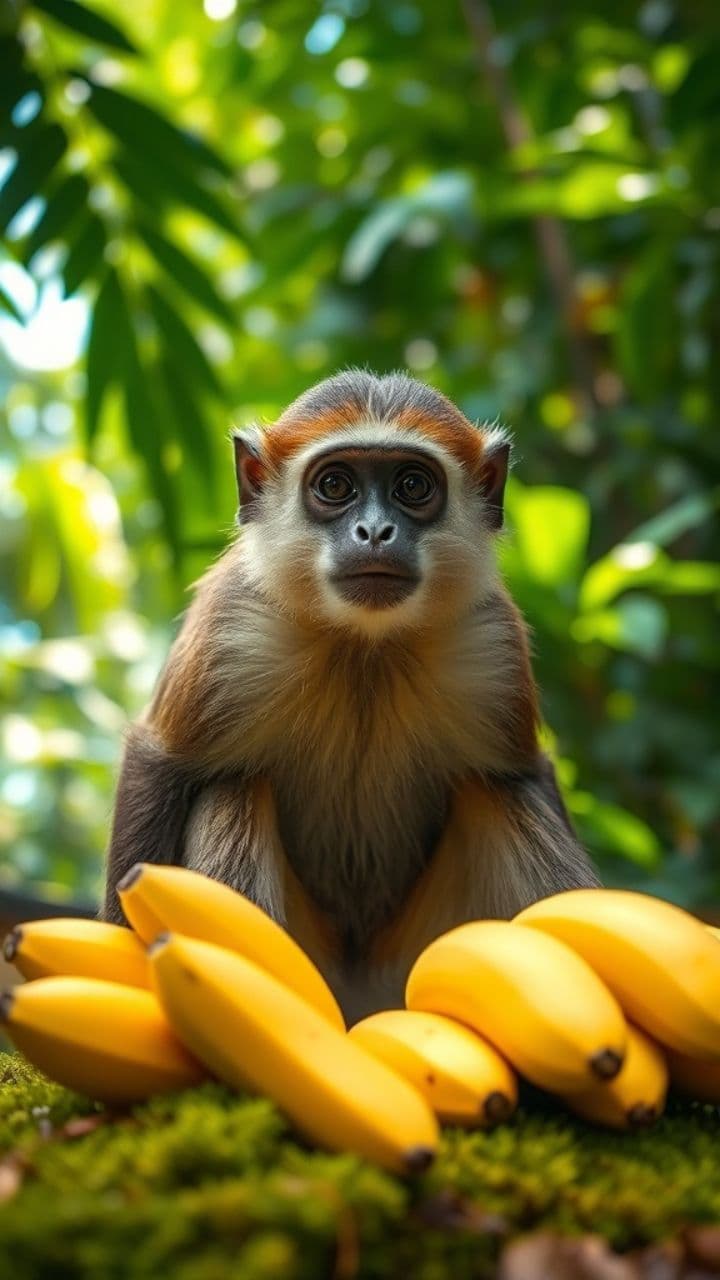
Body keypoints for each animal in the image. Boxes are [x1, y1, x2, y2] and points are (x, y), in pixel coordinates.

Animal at [104, 370, 599, 1022]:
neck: (365, 652)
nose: (375, 532)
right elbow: (160, 761)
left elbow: (524, 773)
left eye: (412, 485)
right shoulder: (233, 625)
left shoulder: (490, 639)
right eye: (335, 485)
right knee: (234, 788)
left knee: (498, 795)